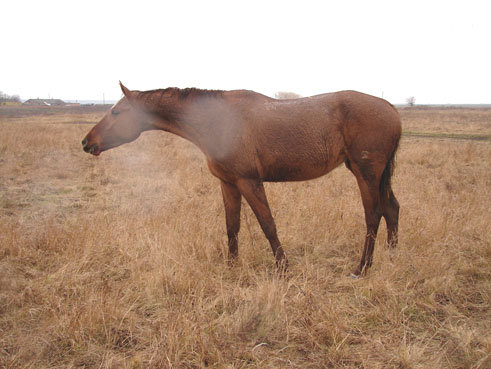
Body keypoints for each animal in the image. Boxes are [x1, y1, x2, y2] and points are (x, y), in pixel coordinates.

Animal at [82, 82, 402, 274]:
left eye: (117, 112)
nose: (87, 142)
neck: (217, 120)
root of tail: (391, 108)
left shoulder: (249, 181)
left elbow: (267, 225)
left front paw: (283, 268)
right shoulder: (228, 183)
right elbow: (232, 227)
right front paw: (231, 267)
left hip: (366, 173)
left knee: (373, 215)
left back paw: (362, 268)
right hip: (376, 175)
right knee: (391, 209)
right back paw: (391, 256)